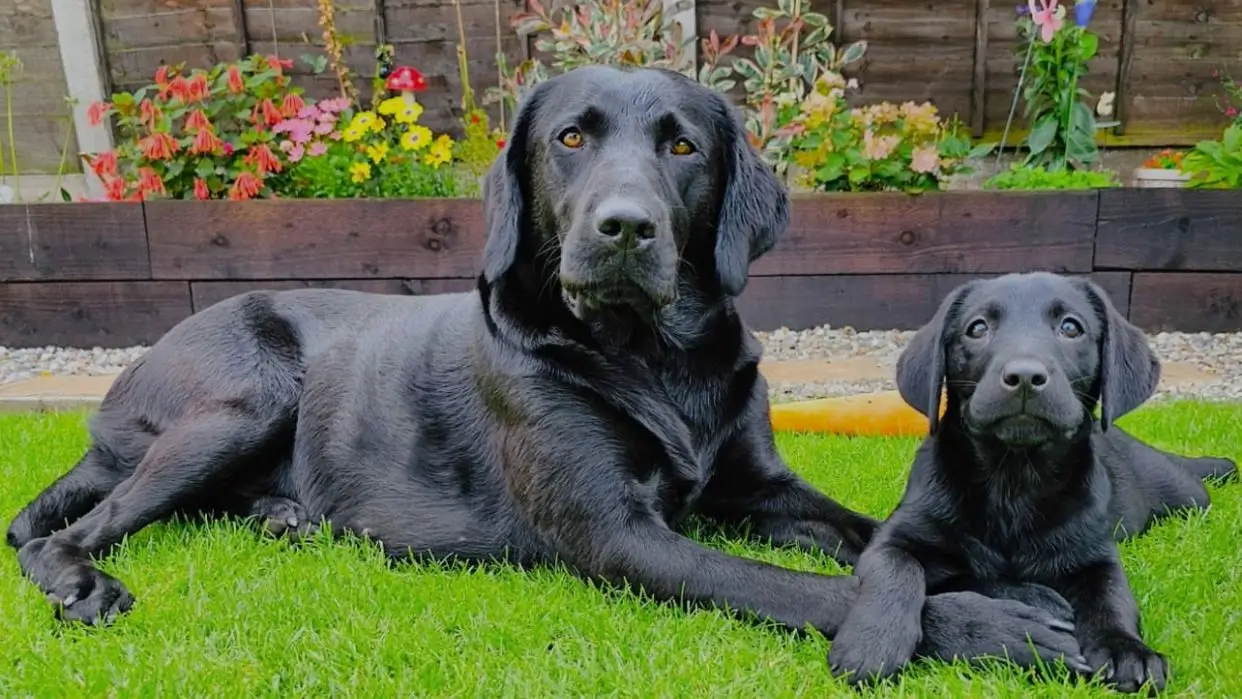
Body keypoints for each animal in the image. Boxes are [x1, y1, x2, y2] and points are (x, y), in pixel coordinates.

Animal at [7, 67, 1078, 670]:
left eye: (681, 146)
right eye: (570, 138)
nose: (624, 228)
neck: (653, 357)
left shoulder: (760, 486)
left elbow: (867, 532)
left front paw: (1001, 578)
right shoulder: (617, 538)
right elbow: (805, 588)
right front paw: (993, 626)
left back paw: (285, 516)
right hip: (242, 397)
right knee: (61, 528)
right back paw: (80, 579)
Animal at [824, 273, 1232, 695]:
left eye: (1071, 327)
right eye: (977, 328)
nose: (1023, 377)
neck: (1013, 480)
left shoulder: (1096, 553)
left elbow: (1112, 598)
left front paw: (1126, 649)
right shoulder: (895, 537)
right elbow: (899, 568)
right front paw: (872, 642)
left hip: (1185, 497)